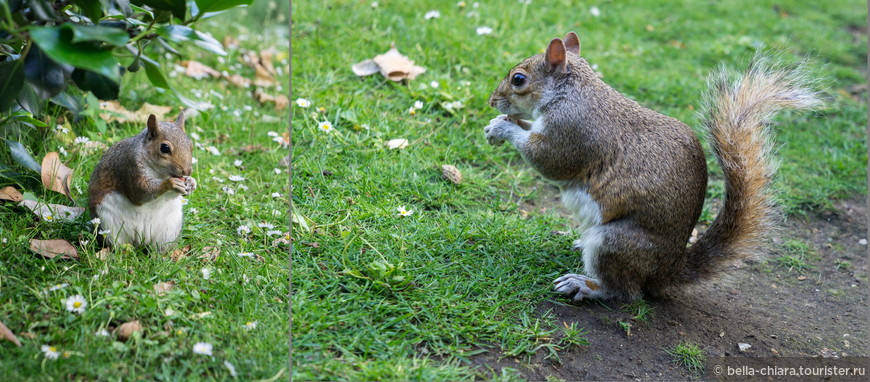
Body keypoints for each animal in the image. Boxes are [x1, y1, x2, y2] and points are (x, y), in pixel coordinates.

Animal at [87, 111, 197, 254]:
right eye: (164, 148)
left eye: (191, 145)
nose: (187, 171)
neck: (159, 172)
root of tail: (141, 238)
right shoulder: (130, 167)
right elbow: (140, 193)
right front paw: (170, 183)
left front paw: (191, 182)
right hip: (108, 224)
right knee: (116, 244)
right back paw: (124, 251)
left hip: (169, 229)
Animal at [484, 32, 824, 302]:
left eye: (518, 79)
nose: (491, 102)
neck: (570, 92)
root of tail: (667, 272)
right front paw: (499, 123)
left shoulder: (572, 132)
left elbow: (549, 160)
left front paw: (504, 128)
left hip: (613, 243)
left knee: (626, 292)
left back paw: (586, 286)